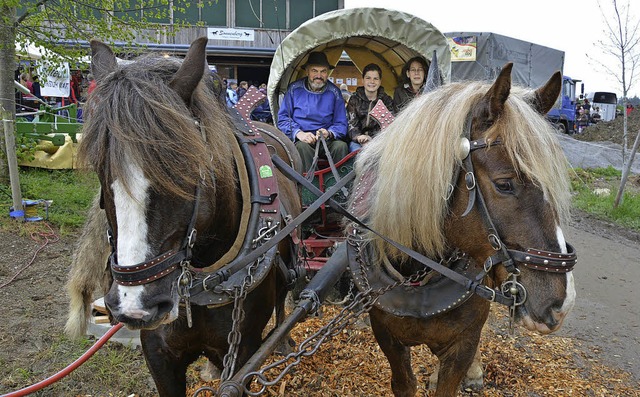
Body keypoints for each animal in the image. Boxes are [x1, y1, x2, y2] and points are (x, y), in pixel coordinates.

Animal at [71, 36, 302, 392]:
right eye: (100, 168)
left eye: (184, 169)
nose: (135, 305)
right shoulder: (159, 354)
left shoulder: (243, 351)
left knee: (282, 296)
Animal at [348, 63, 576, 394]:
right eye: (504, 184)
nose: (561, 303)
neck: (420, 274)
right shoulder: (386, 335)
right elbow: (403, 383)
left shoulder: (463, 344)